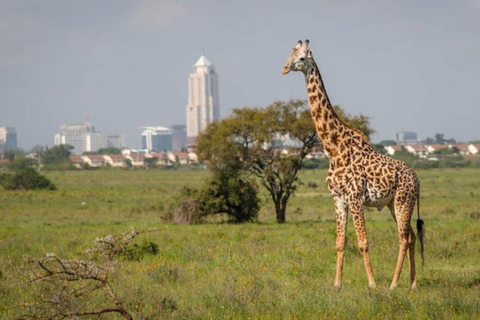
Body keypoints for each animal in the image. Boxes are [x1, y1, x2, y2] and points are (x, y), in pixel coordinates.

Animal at [282, 39, 424, 290]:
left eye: (301, 58)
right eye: (290, 54)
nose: (285, 68)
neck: (333, 148)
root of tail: (417, 179)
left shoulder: (355, 198)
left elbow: (363, 242)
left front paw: (372, 284)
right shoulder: (338, 198)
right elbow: (340, 242)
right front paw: (337, 284)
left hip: (403, 201)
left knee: (402, 239)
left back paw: (393, 284)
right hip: (392, 204)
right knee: (411, 237)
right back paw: (412, 284)